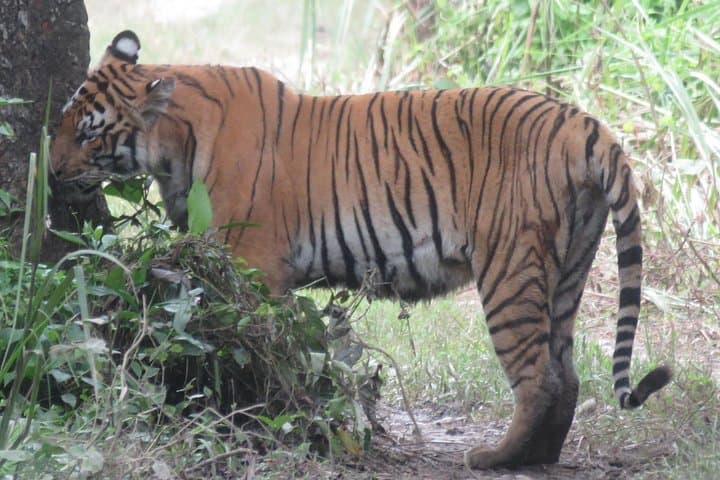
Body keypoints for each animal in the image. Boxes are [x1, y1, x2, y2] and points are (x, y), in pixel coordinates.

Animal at [51, 30, 671, 469]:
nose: (51, 171)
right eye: (63, 121)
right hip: (568, 268)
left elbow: (261, 346)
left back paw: (496, 458)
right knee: (567, 374)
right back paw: (539, 457)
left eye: (88, 133)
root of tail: (579, 120)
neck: (170, 146)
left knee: (539, 376)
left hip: (509, 268)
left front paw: (274, 415)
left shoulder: (252, 264)